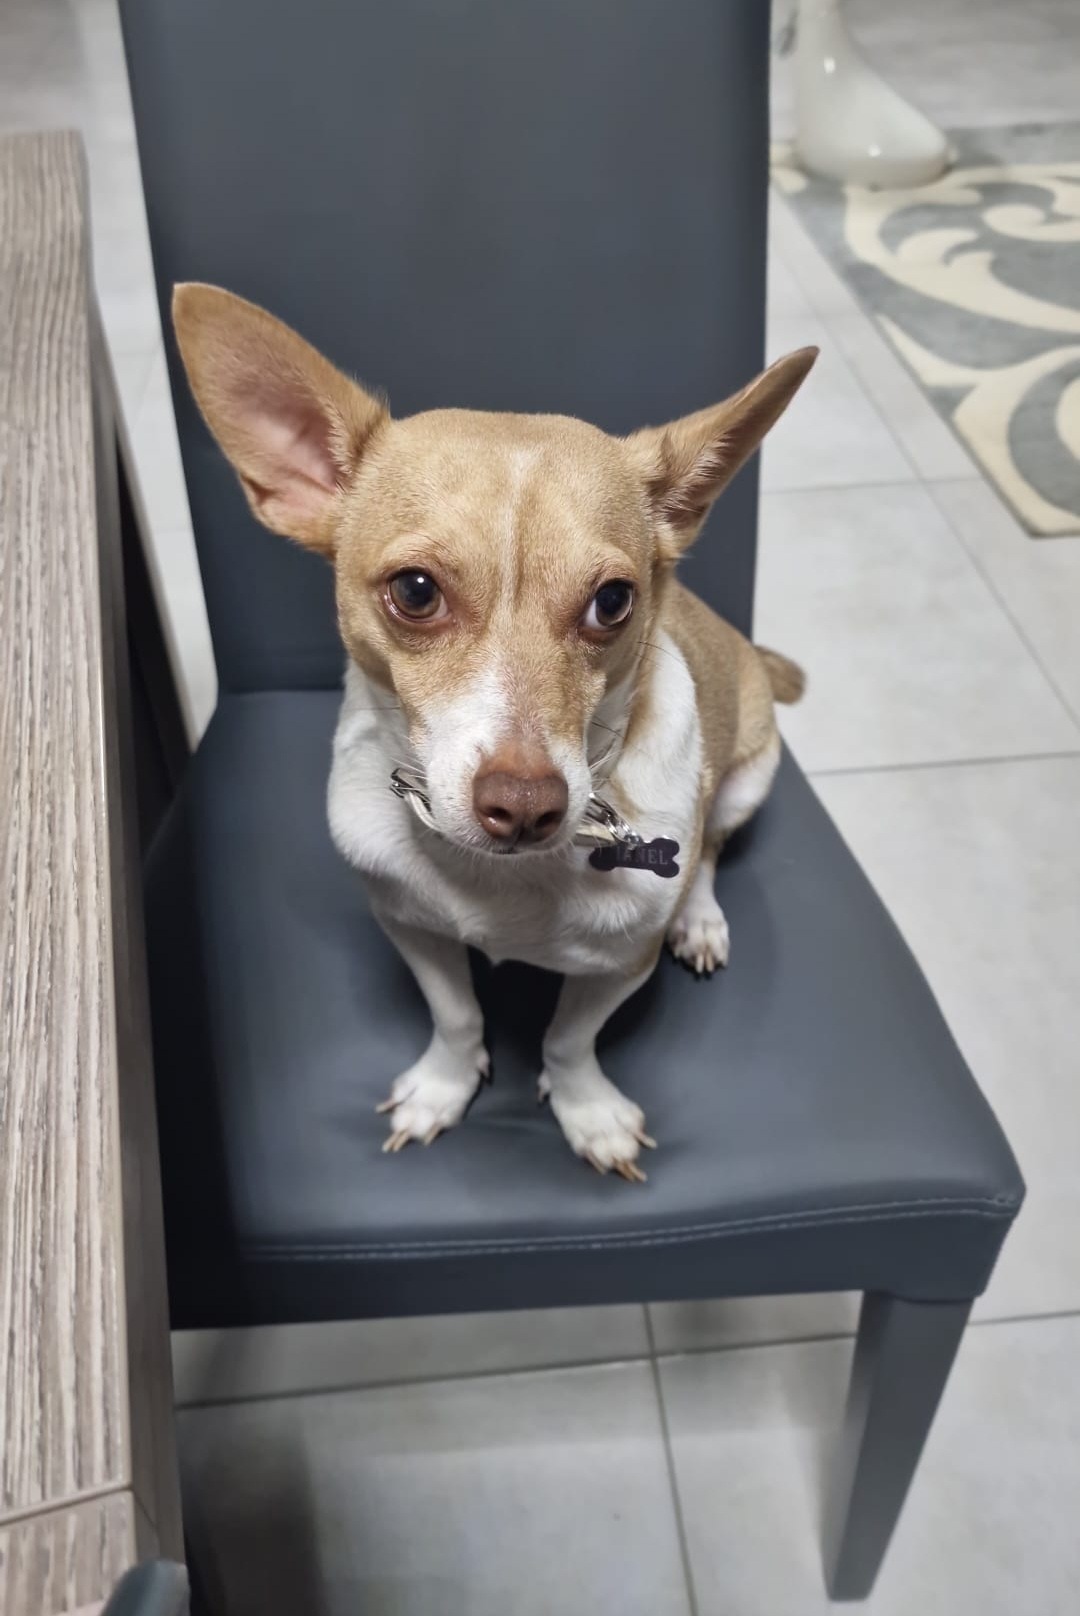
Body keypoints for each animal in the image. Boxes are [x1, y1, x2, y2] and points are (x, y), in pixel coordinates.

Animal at [173, 284, 814, 1181]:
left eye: (614, 602)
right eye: (414, 591)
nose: (525, 804)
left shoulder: (620, 967)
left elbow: (570, 1039)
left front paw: (587, 1110)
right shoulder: (411, 929)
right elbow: (456, 1018)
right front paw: (444, 1088)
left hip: (748, 775)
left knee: (712, 851)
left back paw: (699, 917)